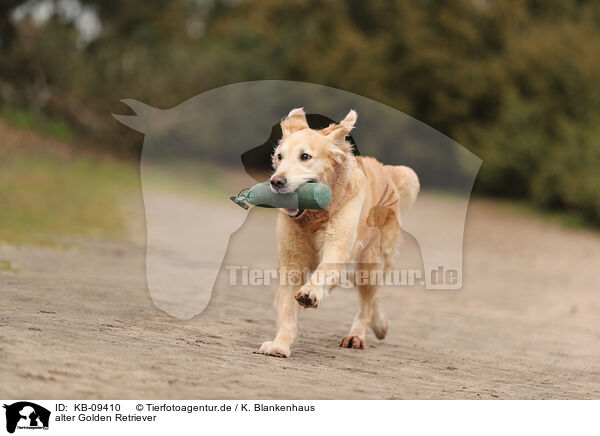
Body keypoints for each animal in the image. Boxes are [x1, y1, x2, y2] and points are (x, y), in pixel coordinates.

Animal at [260, 107, 420, 356]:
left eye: (305, 156)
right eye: (279, 156)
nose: (276, 182)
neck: (315, 214)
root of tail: (387, 172)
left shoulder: (337, 247)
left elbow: (324, 271)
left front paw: (310, 293)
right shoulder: (291, 258)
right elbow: (286, 306)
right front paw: (280, 344)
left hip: (370, 263)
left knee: (368, 302)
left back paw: (357, 335)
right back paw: (379, 325)